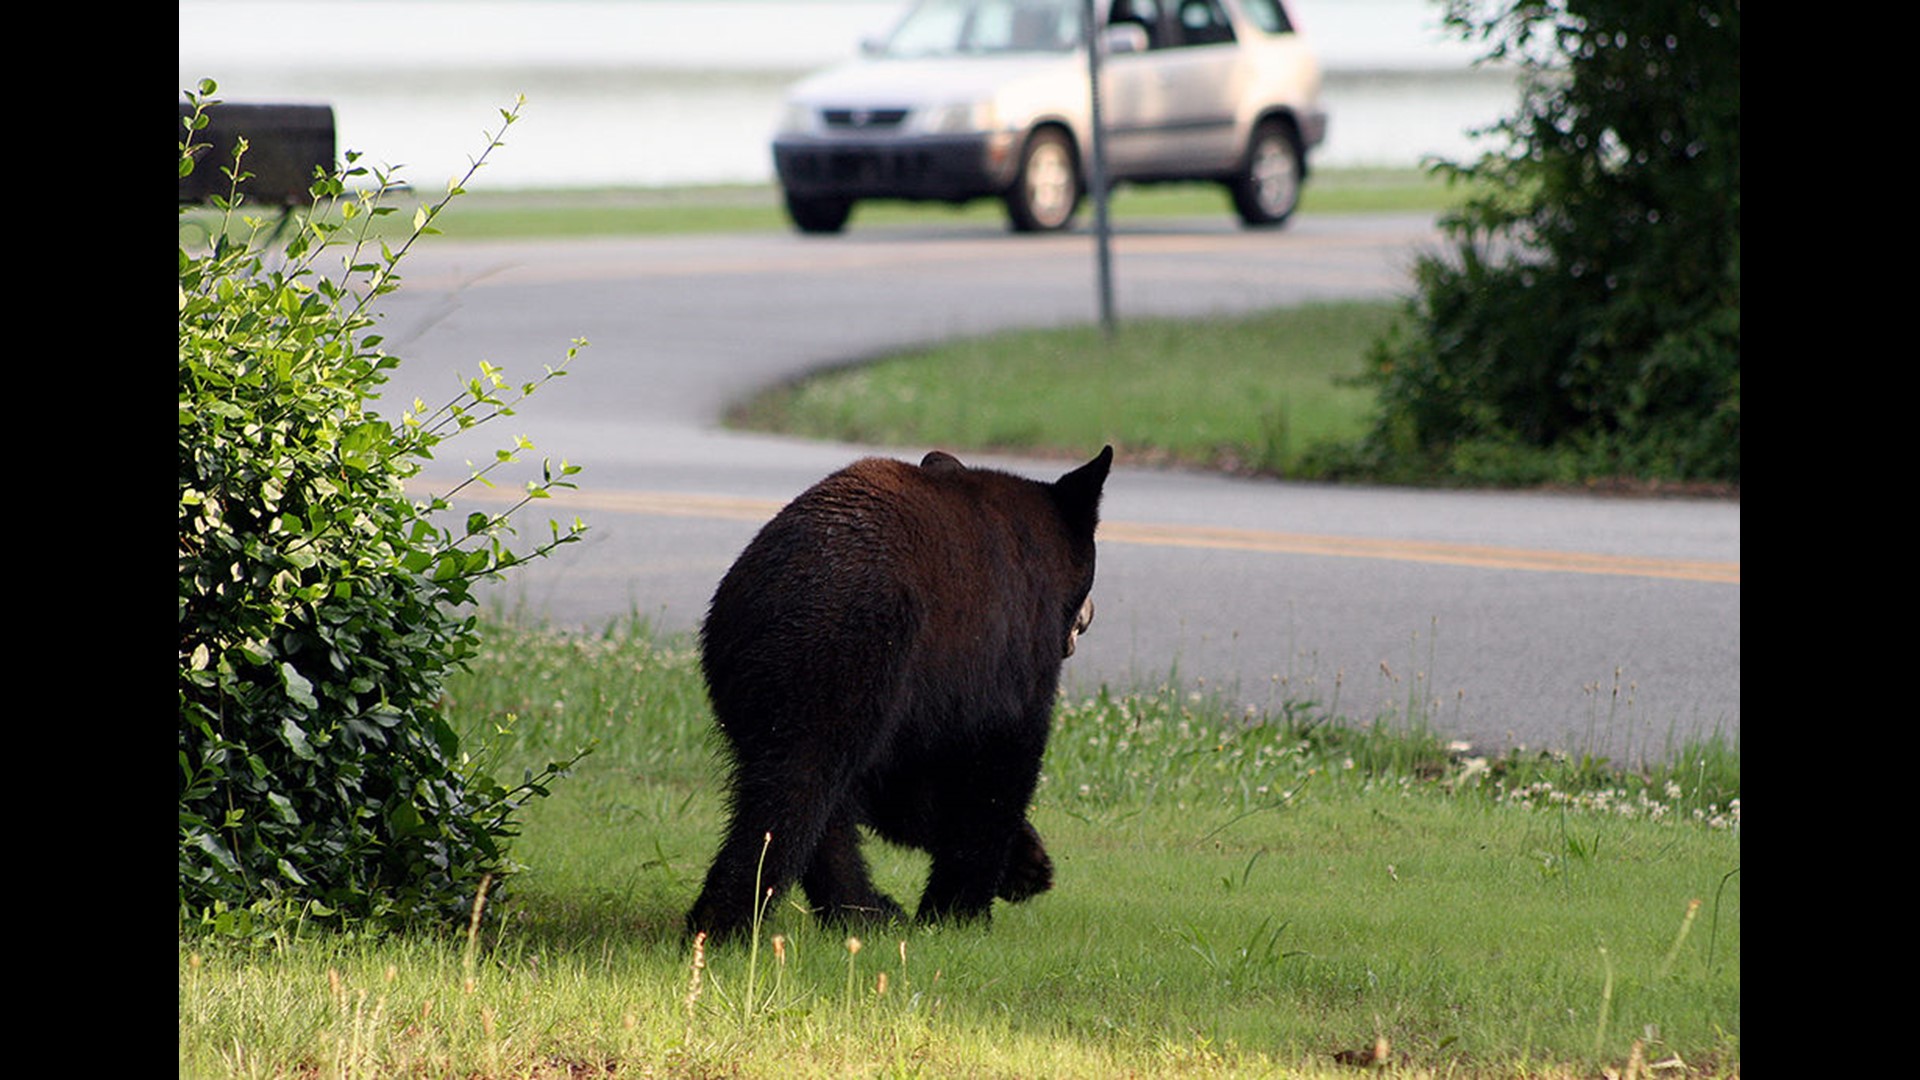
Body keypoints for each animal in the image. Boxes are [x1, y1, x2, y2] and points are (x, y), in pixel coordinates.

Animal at [687, 441, 1113, 937]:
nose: (1089, 616)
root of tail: (767, 593)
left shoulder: (925, 696)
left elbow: (909, 783)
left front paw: (1027, 862)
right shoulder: (1005, 655)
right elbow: (998, 764)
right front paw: (962, 912)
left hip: (751, 678)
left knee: (825, 802)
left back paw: (864, 913)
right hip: (845, 658)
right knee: (797, 787)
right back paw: (727, 920)